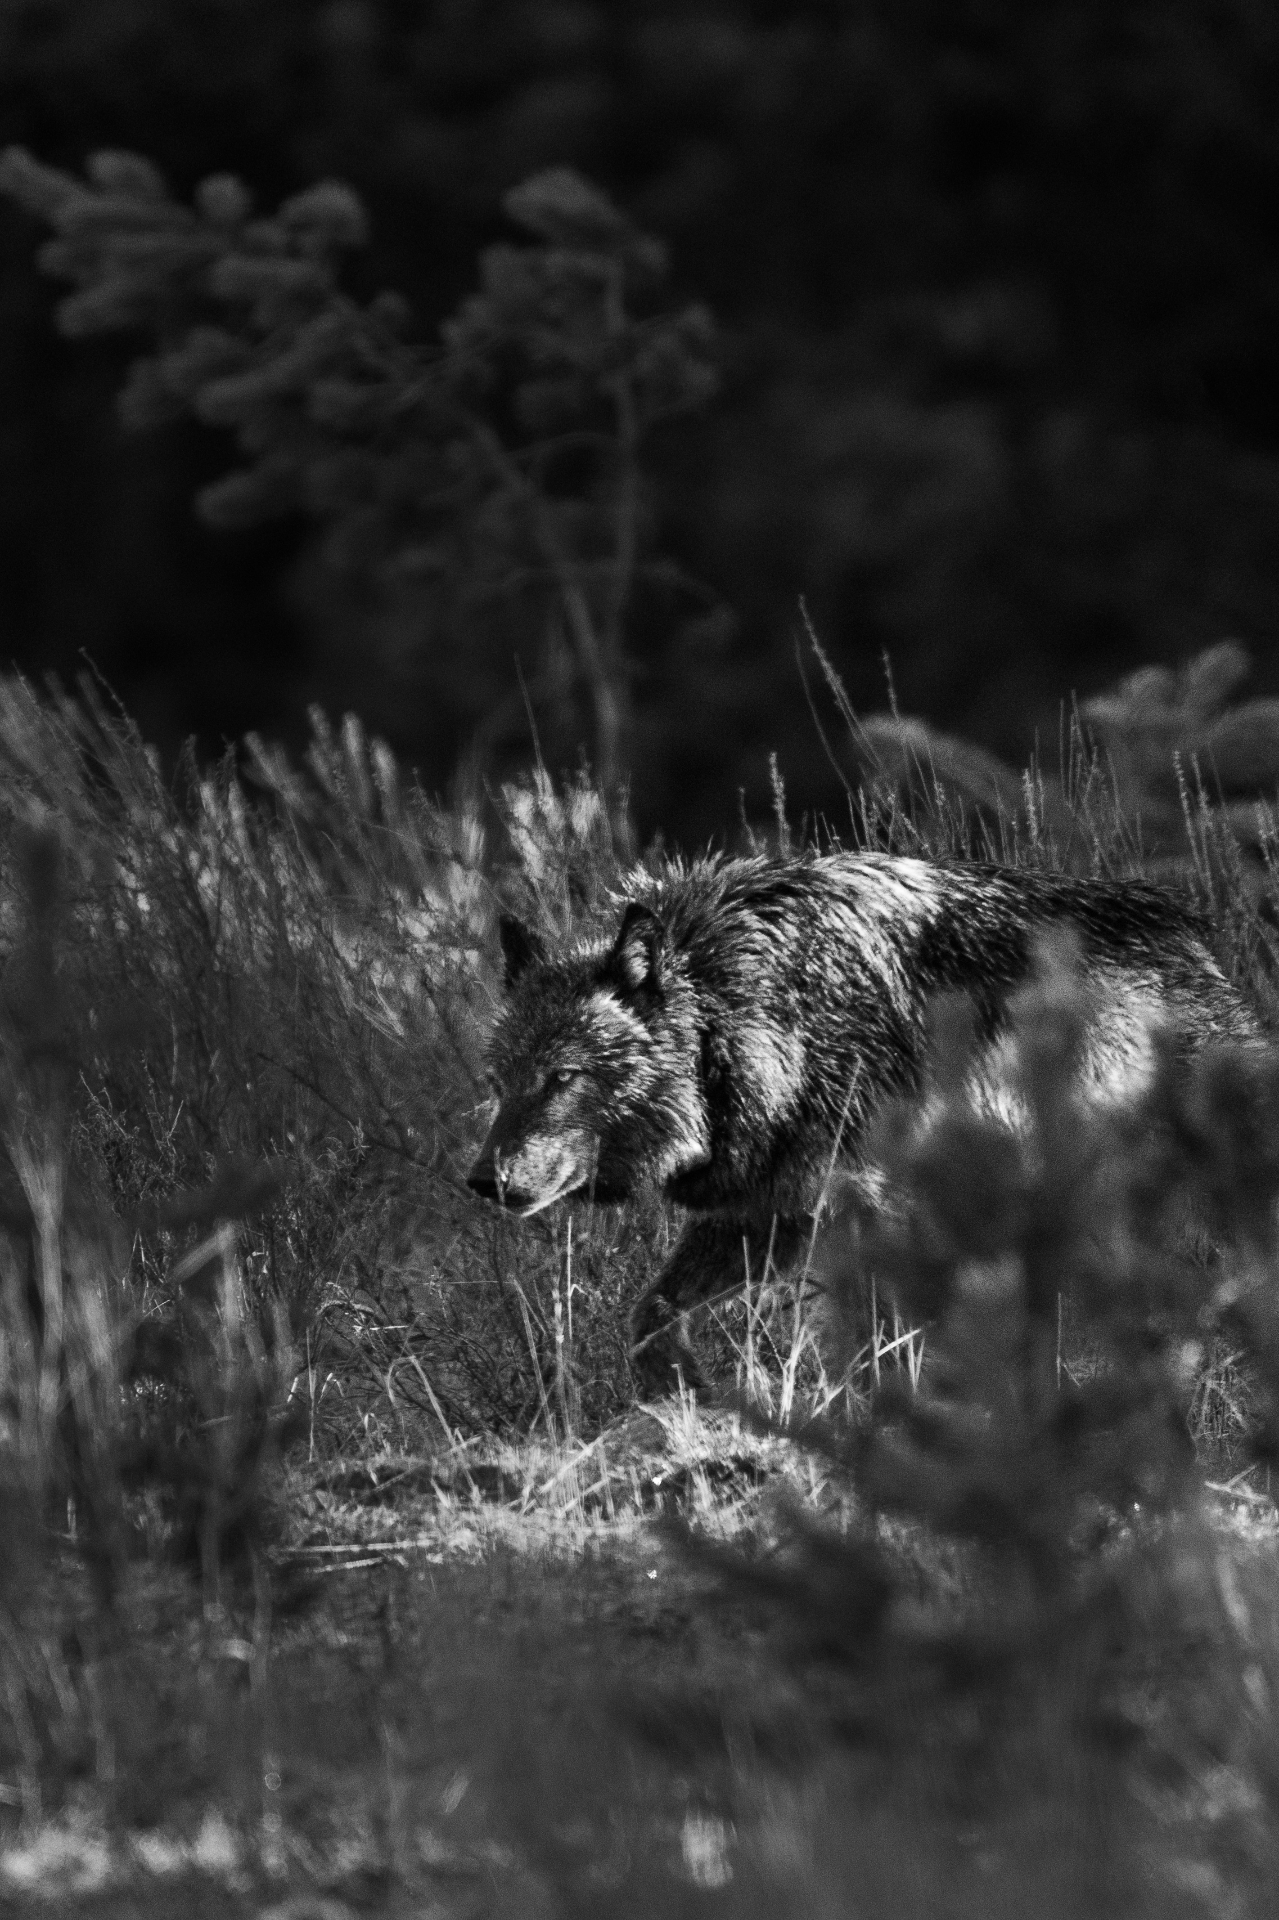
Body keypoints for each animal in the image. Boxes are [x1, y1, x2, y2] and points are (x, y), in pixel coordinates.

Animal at [467, 852, 1256, 1394]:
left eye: (560, 1078)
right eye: (499, 1082)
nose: (481, 1180)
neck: (743, 1023)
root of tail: (1187, 929)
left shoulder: (861, 1213)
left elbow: (873, 1352)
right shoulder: (771, 1217)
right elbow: (648, 1316)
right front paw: (682, 1390)